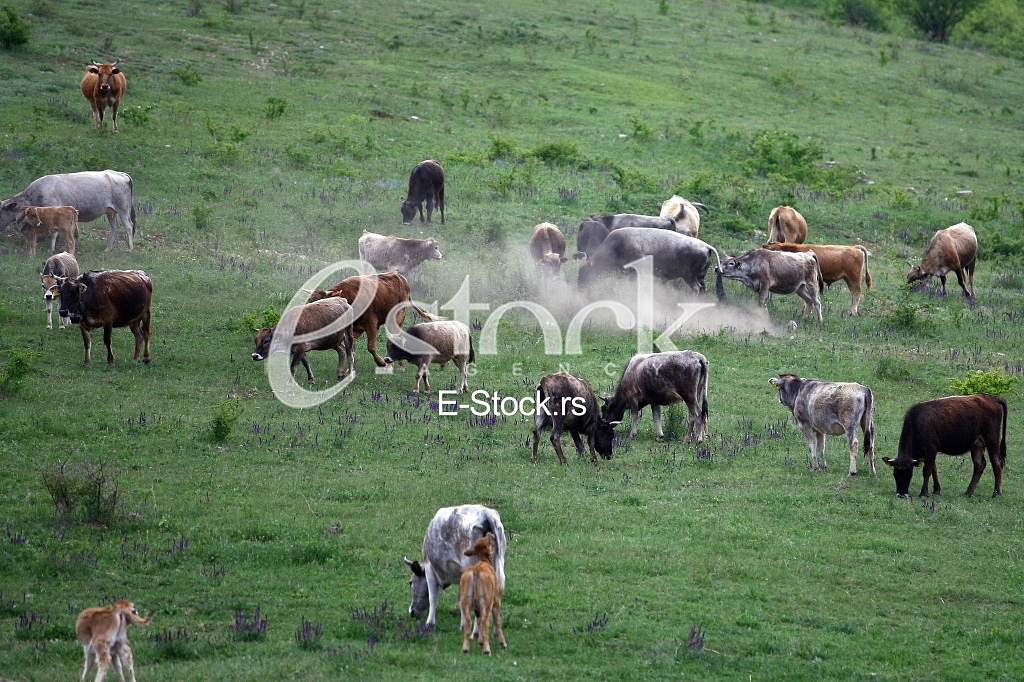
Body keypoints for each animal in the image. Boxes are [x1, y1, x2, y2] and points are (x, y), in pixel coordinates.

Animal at [0, 170, 137, 251]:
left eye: (0, 213)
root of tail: (121, 174)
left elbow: (54, 233)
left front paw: (52, 249)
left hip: (123, 208)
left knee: (129, 226)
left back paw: (129, 249)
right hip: (110, 211)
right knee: (115, 227)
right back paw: (108, 249)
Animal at [306, 272, 437, 367]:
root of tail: (401, 278)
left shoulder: (371, 323)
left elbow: (371, 346)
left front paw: (381, 362)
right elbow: (351, 348)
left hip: (397, 317)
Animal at [577, 227, 725, 300]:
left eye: (584, 272)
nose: (580, 288)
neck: (616, 246)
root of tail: (706, 246)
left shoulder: (634, 272)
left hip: (689, 276)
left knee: (696, 288)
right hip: (699, 277)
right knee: (703, 289)